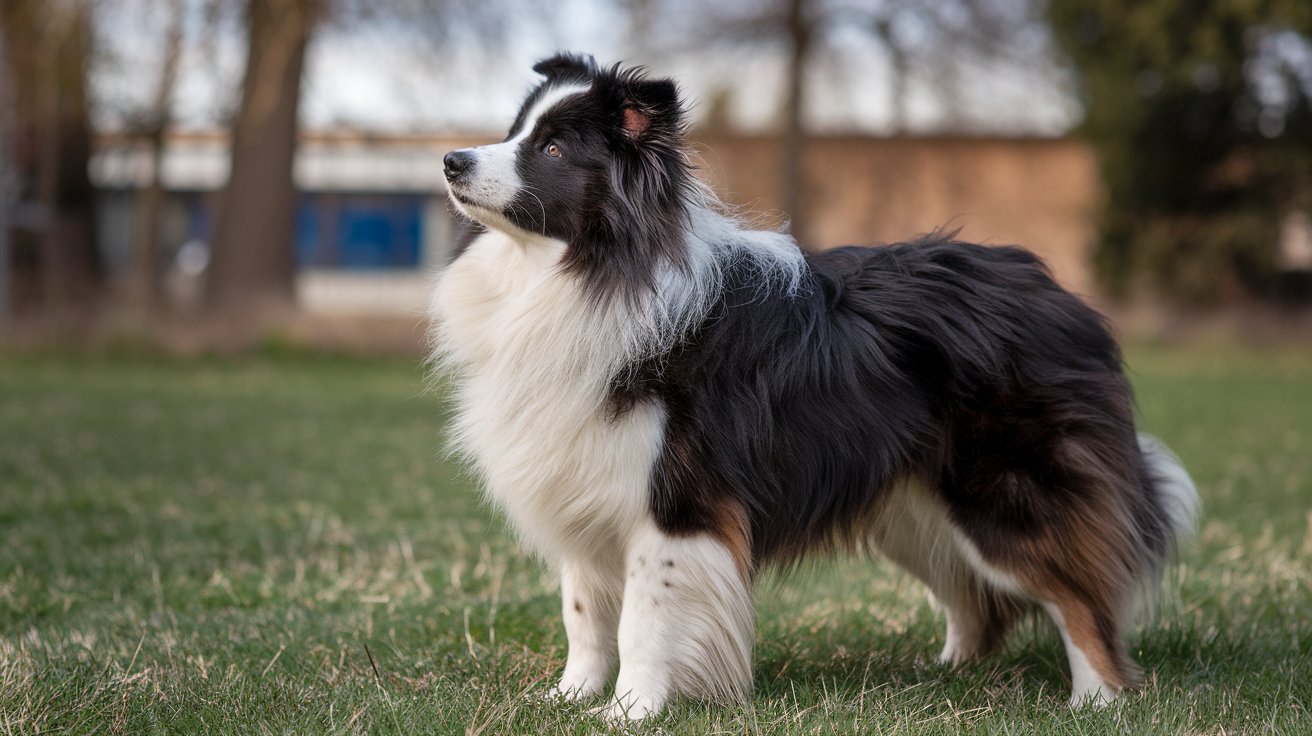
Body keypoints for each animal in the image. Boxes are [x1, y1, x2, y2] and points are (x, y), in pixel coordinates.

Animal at [430, 54, 1201, 718]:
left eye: (554, 149)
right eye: (516, 131)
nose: (450, 160)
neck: (588, 271)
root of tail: (1063, 296)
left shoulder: (672, 501)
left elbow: (644, 620)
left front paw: (632, 711)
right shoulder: (583, 485)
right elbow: (585, 615)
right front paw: (568, 699)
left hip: (1006, 494)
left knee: (1078, 595)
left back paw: (1098, 701)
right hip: (915, 509)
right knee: (977, 601)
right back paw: (946, 678)